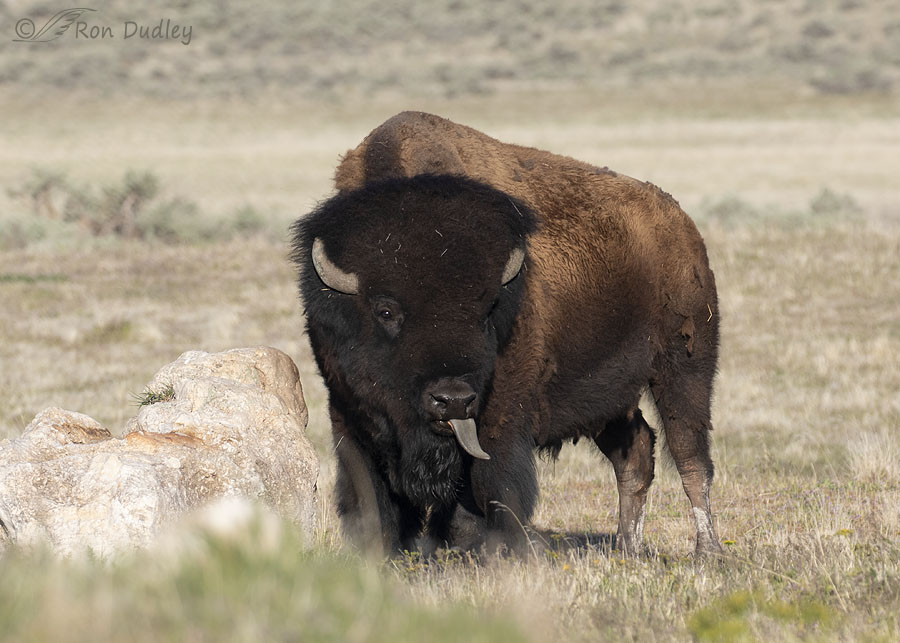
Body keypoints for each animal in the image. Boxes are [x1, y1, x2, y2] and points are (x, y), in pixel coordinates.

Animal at [292, 111, 722, 557]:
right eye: (386, 310)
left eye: (486, 310)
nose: (452, 400)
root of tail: (682, 226)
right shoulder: (349, 415)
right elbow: (373, 501)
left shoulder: (499, 419)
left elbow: (489, 493)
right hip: (611, 396)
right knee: (635, 452)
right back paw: (626, 547)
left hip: (684, 366)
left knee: (690, 457)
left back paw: (708, 553)